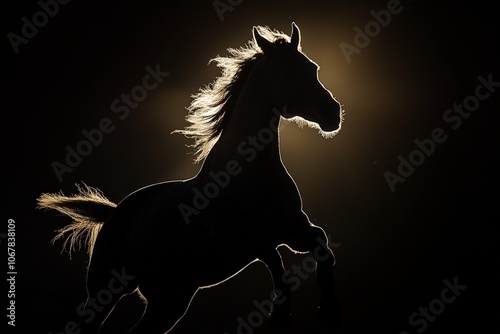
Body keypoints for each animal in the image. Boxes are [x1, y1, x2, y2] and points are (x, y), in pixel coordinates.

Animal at [38, 22, 344, 332]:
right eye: (287, 72)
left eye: (312, 68)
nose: (333, 114)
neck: (251, 174)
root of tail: (113, 213)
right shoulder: (250, 242)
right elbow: (279, 269)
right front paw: (282, 315)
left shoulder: (293, 230)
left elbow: (321, 247)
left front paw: (328, 311)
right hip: (106, 294)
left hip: (171, 299)